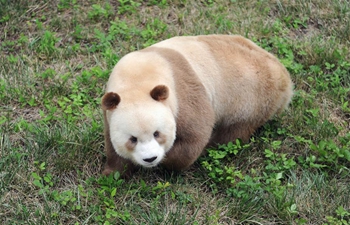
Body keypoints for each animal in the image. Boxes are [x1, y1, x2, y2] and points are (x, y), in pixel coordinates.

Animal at [101, 34, 292, 177]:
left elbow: (195, 134)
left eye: (157, 133)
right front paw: (112, 173)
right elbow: (111, 143)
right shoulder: (110, 110)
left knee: (233, 132)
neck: (137, 79)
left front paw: (167, 160)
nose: (150, 159)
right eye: (132, 139)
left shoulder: (182, 92)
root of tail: (285, 78)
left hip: (250, 99)